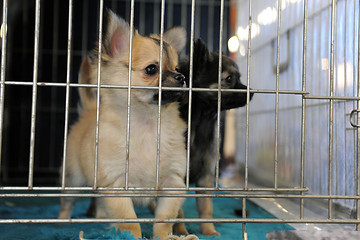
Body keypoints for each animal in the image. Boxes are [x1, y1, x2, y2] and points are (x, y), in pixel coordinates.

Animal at [57, 9, 187, 240]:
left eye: (177, 68)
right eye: (151, 69)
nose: (181, 77)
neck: (148, 122)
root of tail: (90, 111)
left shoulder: (173, 183)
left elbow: (164, 219)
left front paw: (164, 235)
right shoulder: (116, 184)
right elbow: (129, 220)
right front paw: (131, 235)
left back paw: (101, 219)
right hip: (72, 178)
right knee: (67, 202)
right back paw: (62, 221)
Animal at [174, 39, 253, 236]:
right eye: (229, 79)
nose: (252, 91)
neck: (202, 120)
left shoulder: (206, 177)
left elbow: (206, 207)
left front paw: (209, 231)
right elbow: (177, 209)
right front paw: (181, 231)